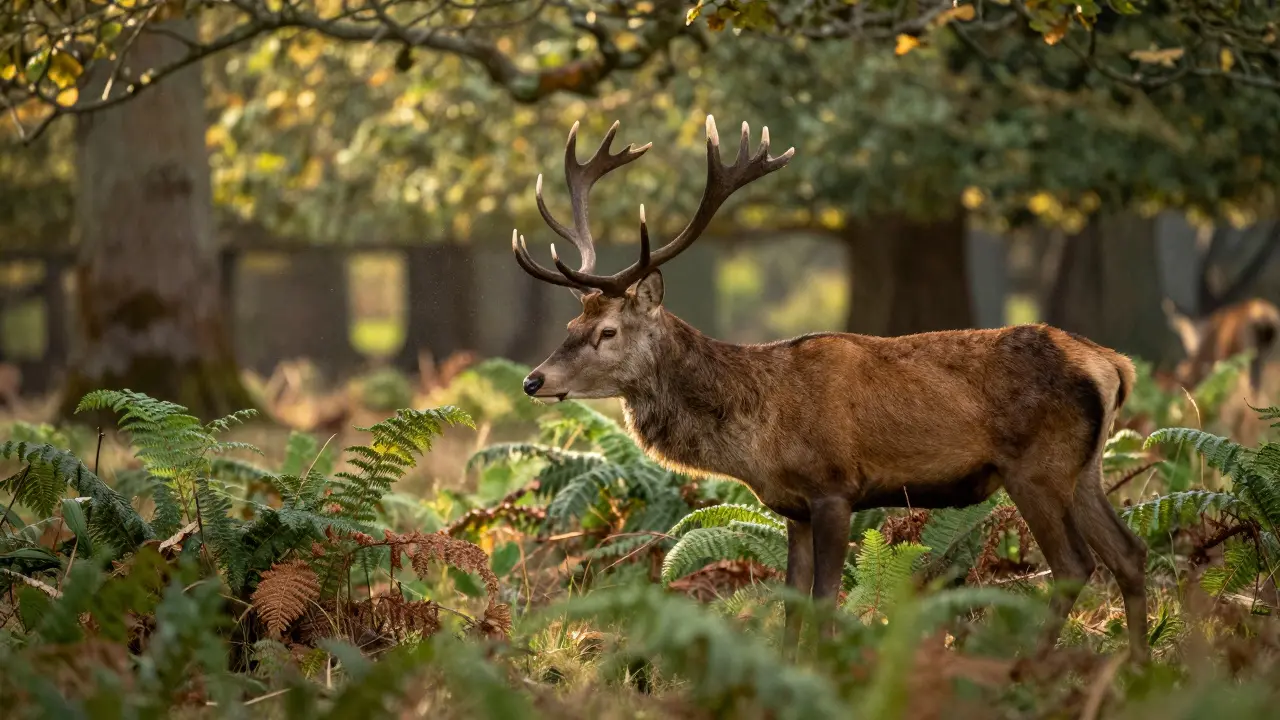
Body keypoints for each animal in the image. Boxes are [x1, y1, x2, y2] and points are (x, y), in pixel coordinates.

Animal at [509, 115, 1149, 662]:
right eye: (571, 325)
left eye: (607, 331)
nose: (533, 380)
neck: (759, 433)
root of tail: (1112, 364)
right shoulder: (792, 507)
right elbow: (791, 608)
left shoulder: (835, 487)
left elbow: (823, 602)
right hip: (1084, 469)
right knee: (1129, 552)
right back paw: (1139, 669)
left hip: (1036, 466)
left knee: (1074, 564)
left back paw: (1029, 669)